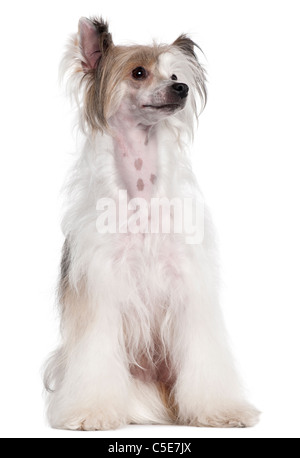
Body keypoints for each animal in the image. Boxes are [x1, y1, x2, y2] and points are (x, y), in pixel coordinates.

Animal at [44, 15, 260, 430]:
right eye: (139, 72)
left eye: (175, 74)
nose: (181, 88)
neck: (141, 198)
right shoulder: (100, 291)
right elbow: (95, 353)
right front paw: (91, 412)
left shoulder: (188, 288)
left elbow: (204, 356)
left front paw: (220, 410)